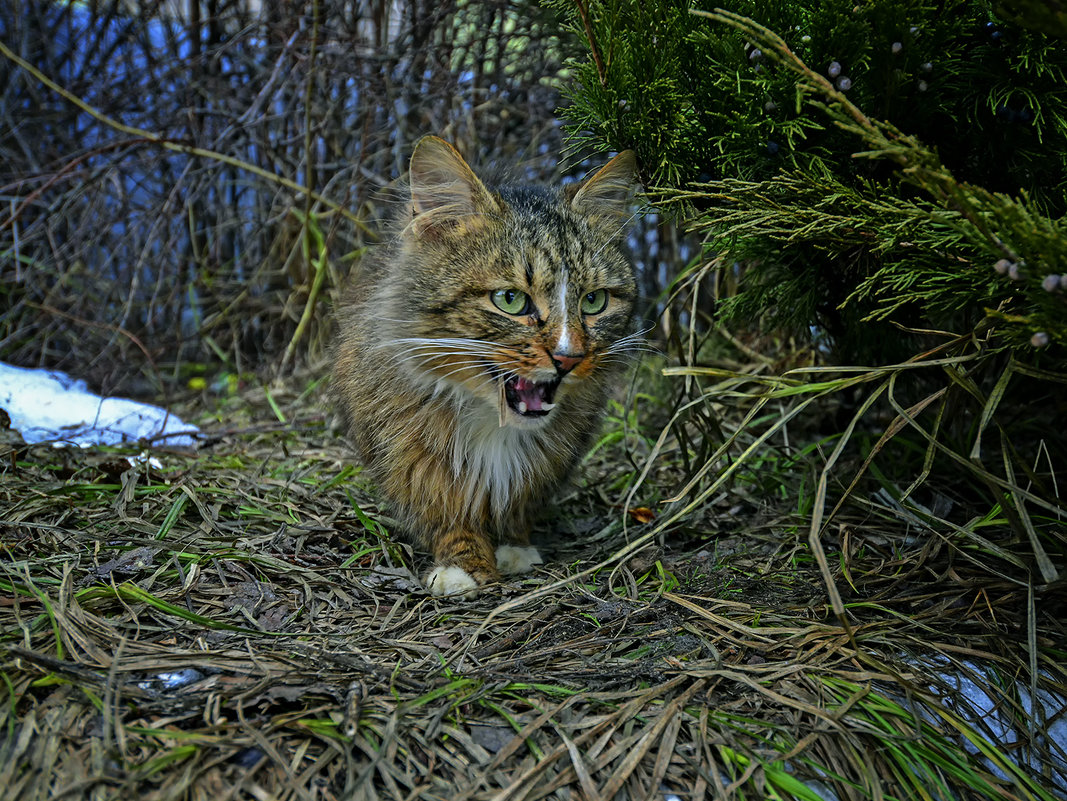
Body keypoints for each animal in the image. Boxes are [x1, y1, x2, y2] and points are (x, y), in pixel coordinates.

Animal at [328, 136, 635, 597]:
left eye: (594, 301)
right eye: (510, 300)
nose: (569, 358)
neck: (494, 424)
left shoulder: (545, 462)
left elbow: (515, 502)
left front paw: (514, 547)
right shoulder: (414, 456)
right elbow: (449, 512)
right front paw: (464, 566)